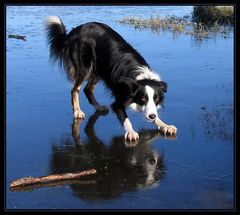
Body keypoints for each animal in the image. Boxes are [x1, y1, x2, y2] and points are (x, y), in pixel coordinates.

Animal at [44, 16, 176, 141]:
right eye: (142, 98)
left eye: (156, 99)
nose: (151, 116)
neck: (139, 77)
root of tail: (71, 32)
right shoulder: (118, 100)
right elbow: (124, 117)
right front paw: (131, 132)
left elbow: (155, 115)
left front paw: (165, 125)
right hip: (85, 67)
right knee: (75, 90)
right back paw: (77, 111)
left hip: (100, 69)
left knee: (87, 89)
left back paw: (99, 107)